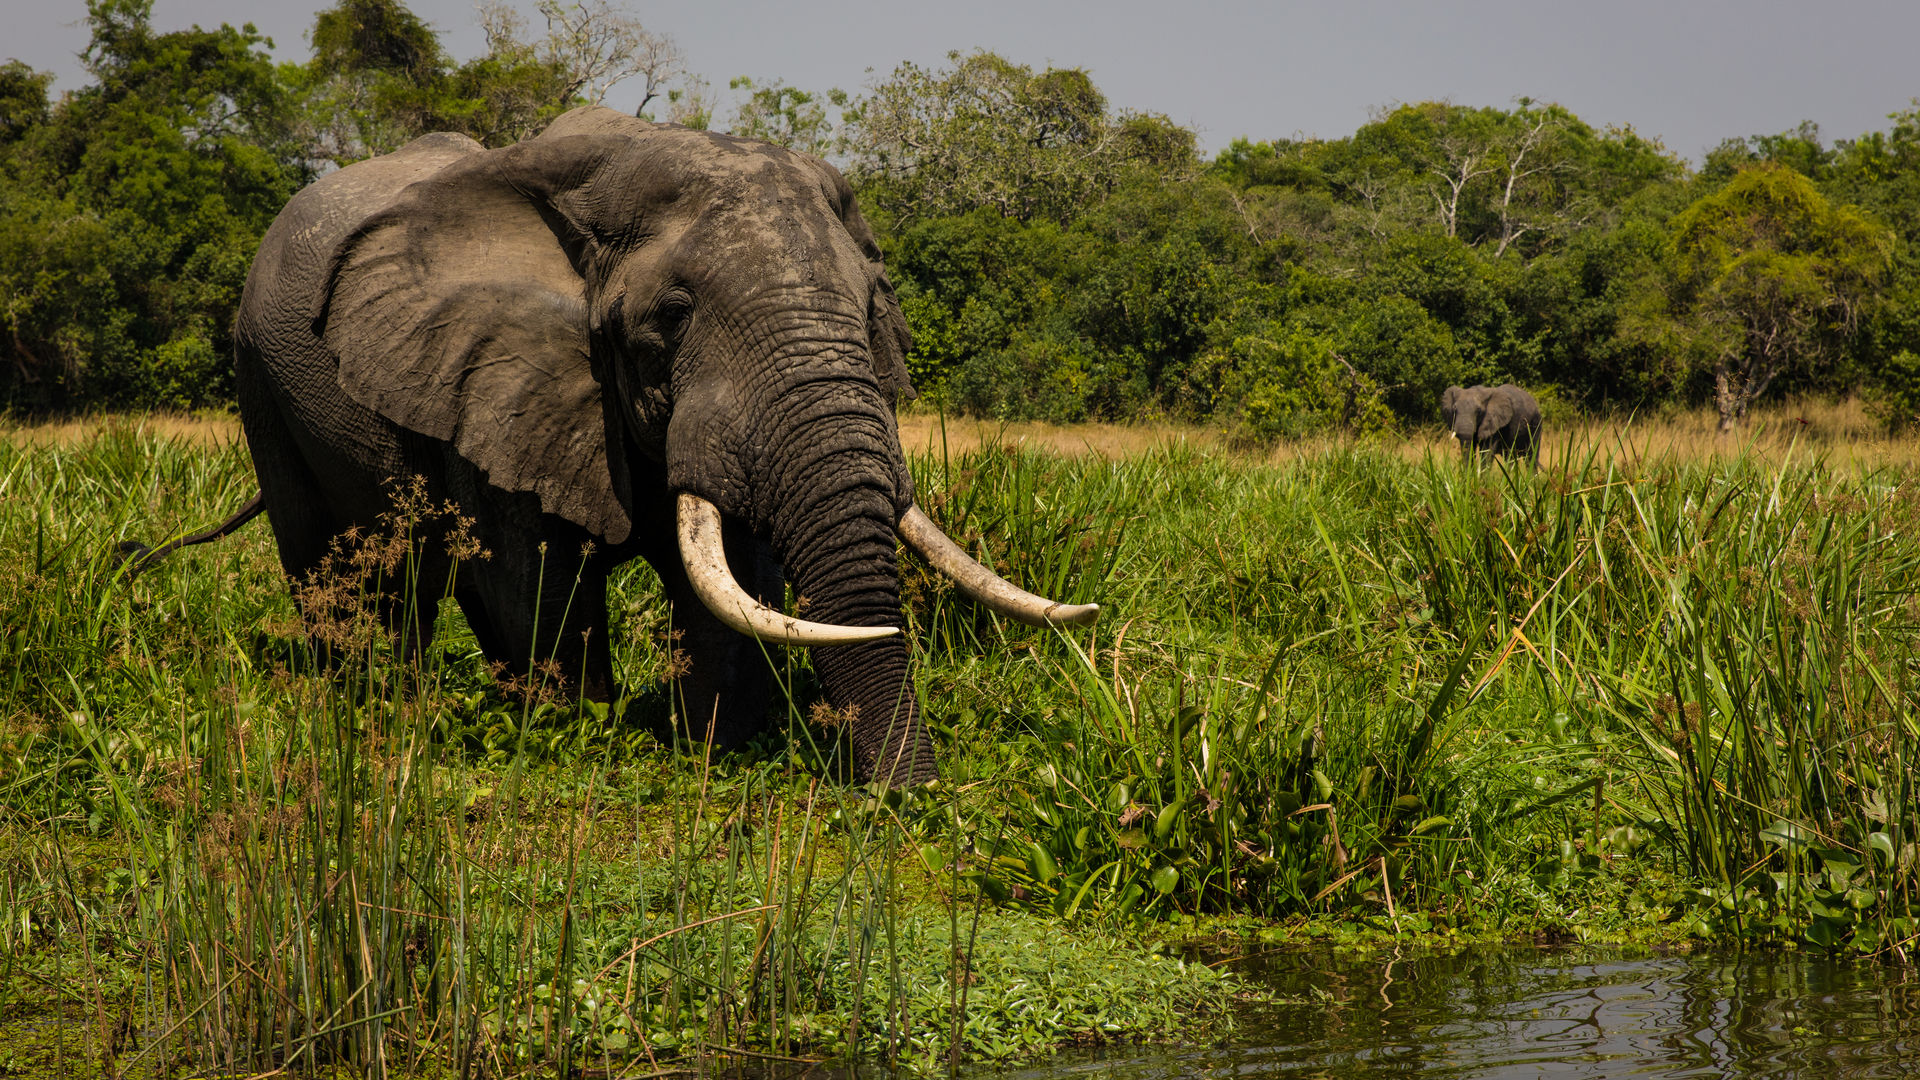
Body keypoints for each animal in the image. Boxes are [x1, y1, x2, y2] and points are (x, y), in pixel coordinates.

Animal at [123, 105, 1098, 780]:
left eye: (872, 304)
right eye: (670, 317)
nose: (915, 799)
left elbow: (736, 578)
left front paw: (709, 747)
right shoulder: (503, 371)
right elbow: (540, 577)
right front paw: (582, 736)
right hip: (261, 378)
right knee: (348, 567)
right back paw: (375, 707)